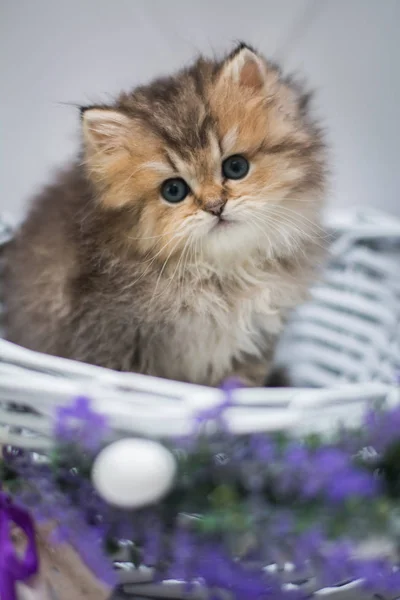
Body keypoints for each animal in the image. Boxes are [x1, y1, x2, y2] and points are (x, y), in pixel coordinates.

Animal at [3, 44, 326, 386]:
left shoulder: (253, 349)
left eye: (236, 167)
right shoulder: (108, 340)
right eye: (174, 190)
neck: (222, 276)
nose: (215, 206)